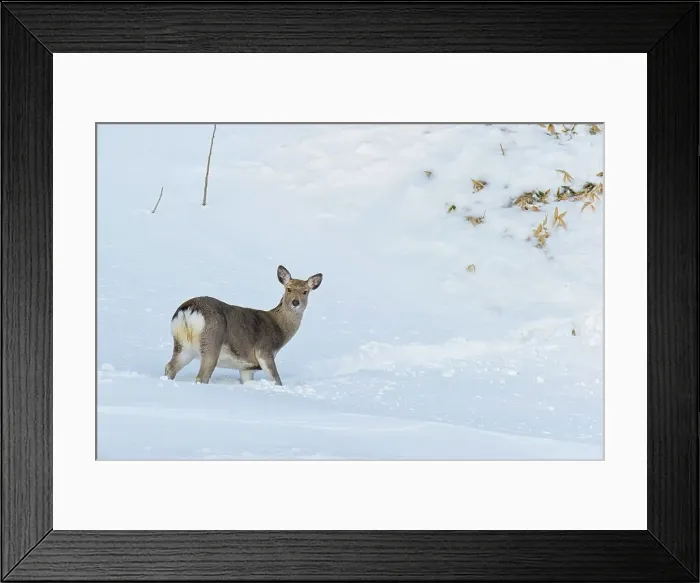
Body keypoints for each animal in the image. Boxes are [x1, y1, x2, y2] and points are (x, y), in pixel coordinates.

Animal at [164, 265, 323, 386]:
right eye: (288, 289)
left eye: (305, 292)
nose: (295, 302)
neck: (280, 329)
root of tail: (188, 311)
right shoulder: (264, 350)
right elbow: (277, 380)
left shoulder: (246, 367)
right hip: (211, 341)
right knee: (201, 376)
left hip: (183, 345)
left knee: (170, 367)